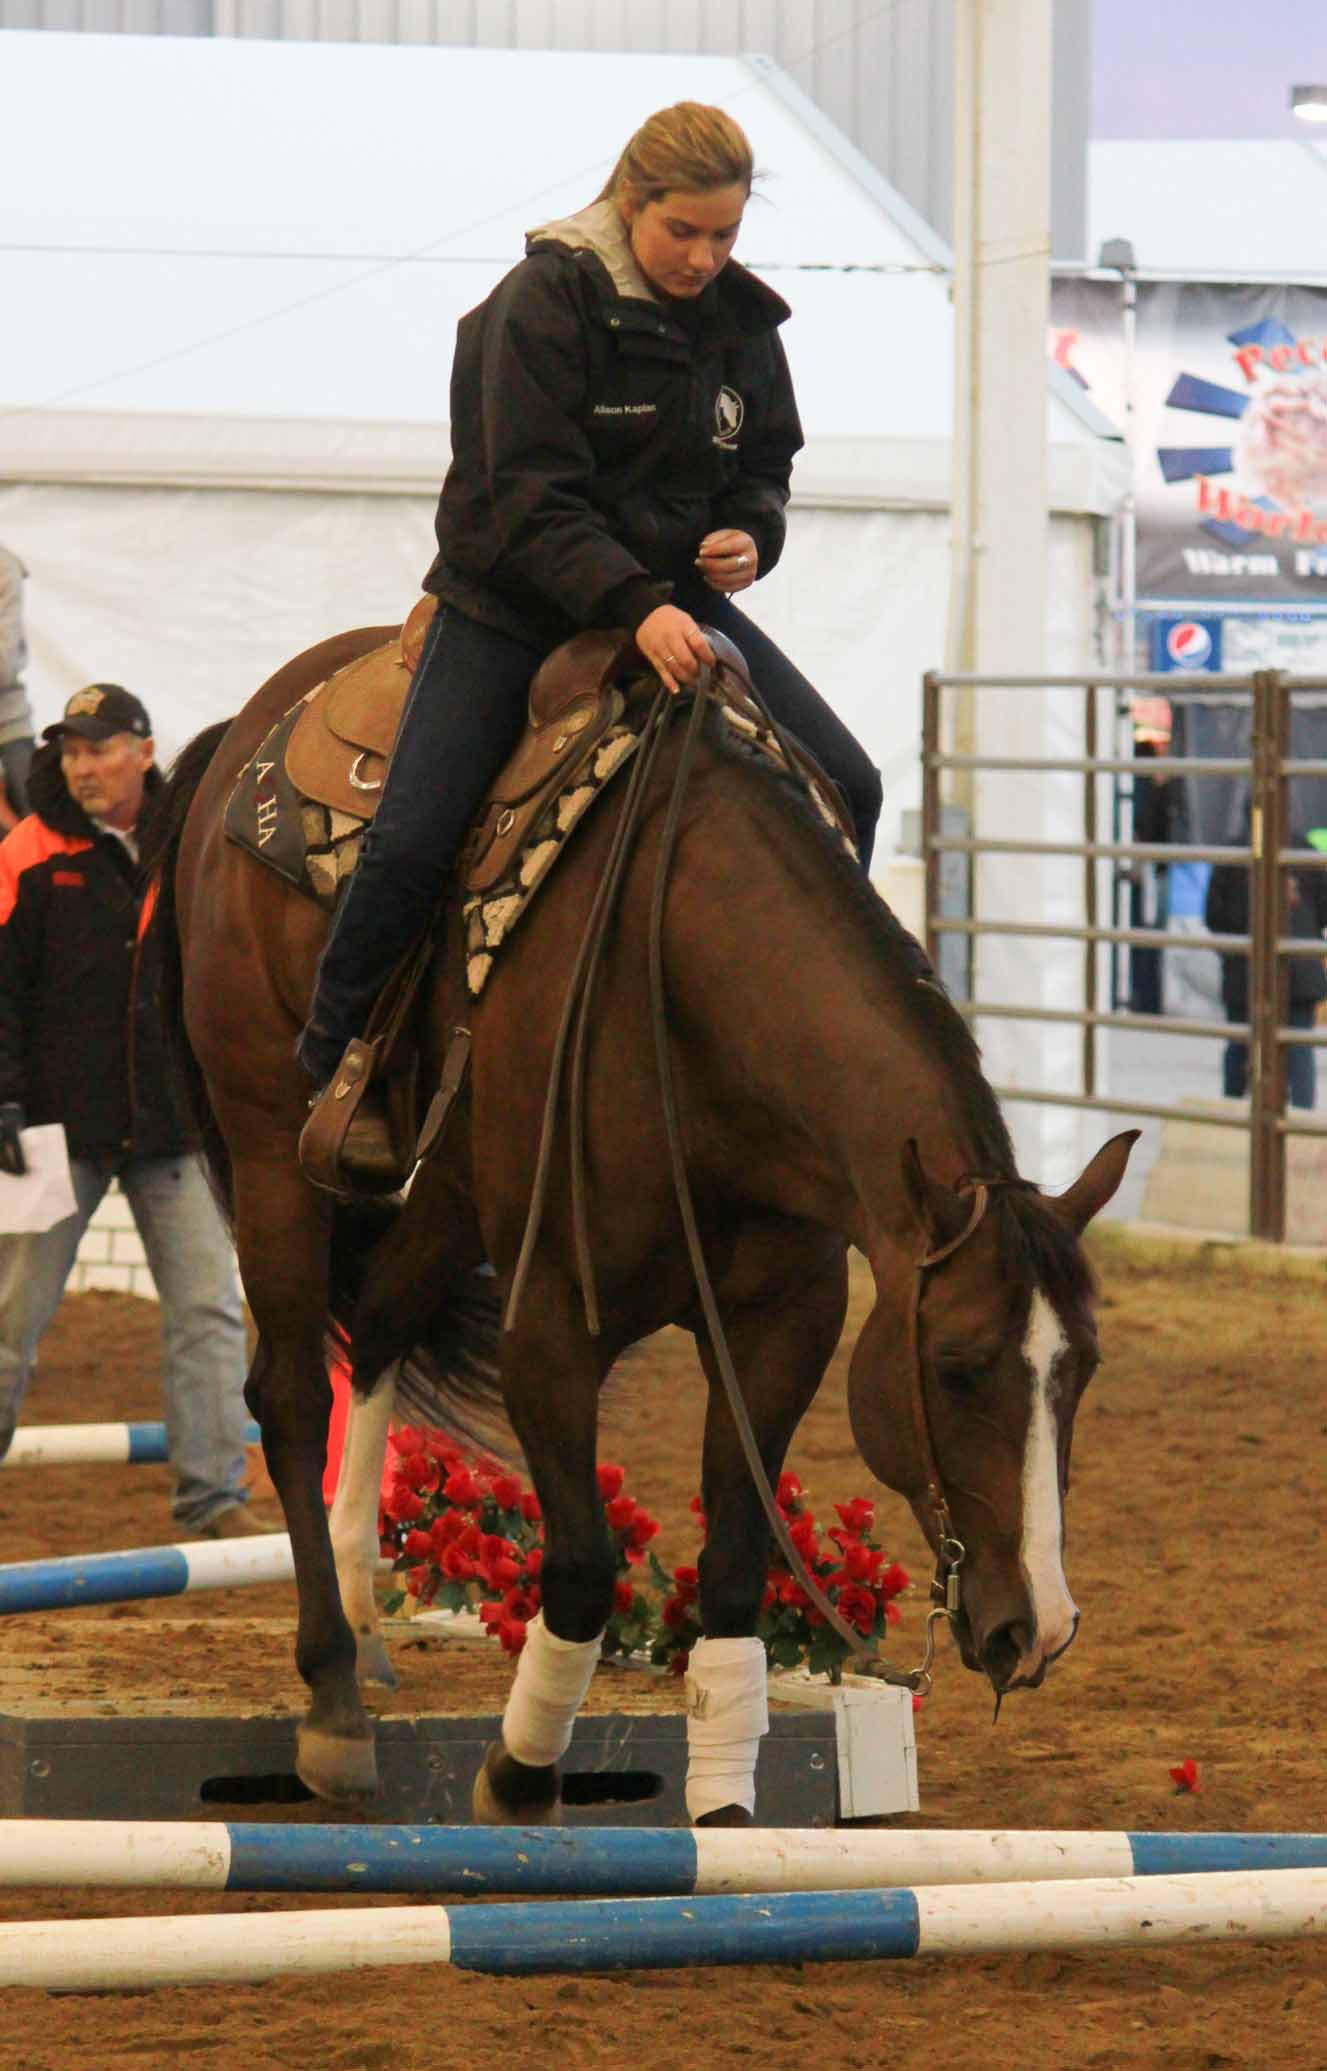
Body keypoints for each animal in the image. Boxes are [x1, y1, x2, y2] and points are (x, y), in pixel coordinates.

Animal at [146, 621, 1142, 1822]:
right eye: (953, 1368)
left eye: (1082, 1367)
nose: (1034, 1627)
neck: (684, 985)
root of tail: (248, 727)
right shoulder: (548, 1322)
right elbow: (580, 1565)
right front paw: (520, 1773)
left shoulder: (782, 1321)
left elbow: (733, 1573)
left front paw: (722, 1804)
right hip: (271, 1154)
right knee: (290, 1393)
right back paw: (334, 1697)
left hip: (449, 1190)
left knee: (377, 1327)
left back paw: (362, 1614)